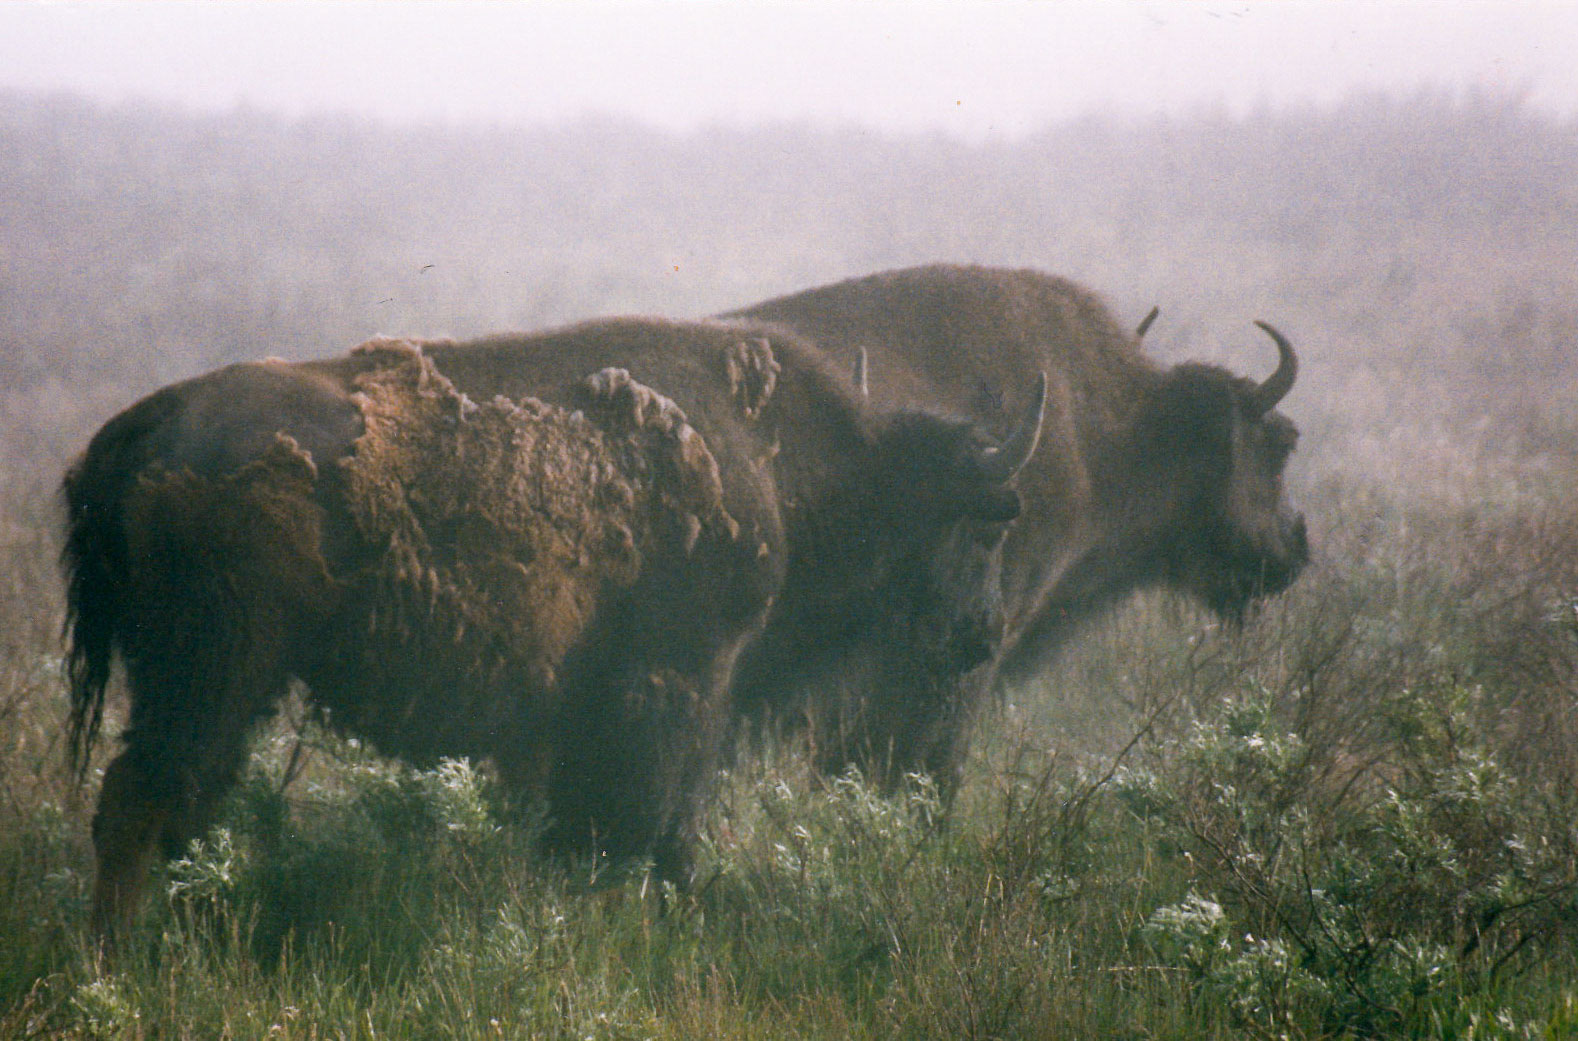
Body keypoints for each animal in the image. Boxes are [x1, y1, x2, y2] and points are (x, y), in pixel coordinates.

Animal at [64, 313, 1047, 940]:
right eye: (990, 524)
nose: (981, 633)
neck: (788, 464)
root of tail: (142, 425)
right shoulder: (685, 683)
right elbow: (652, 824)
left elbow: (585, 827)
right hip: (214, 667)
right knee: (144, 795)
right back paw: (121, 958)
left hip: (215, 682)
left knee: (184, 798)